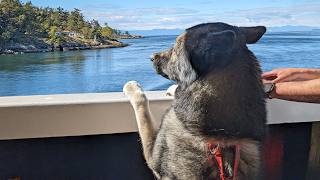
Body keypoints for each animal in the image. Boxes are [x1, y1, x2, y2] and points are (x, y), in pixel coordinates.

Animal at [124, 22, 266, 180]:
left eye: (174, 49)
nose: (151, 57)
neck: (223, 135)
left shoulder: (152, 157)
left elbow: (142, 110)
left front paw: (131, 87)